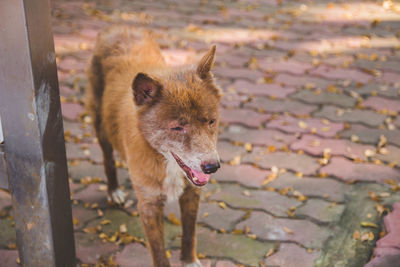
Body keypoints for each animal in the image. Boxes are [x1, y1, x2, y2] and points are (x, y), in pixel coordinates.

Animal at [85, 25, 220, 267]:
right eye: (177, 127)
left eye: (211, 121)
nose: (212, 167)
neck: (163, 159)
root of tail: (118, 27)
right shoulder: (148, 205)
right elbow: (158, 252)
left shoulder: (192, 193)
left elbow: (189, 233)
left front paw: (189, 261)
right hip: (100, 125)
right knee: (107, 158)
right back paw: (114, 191)